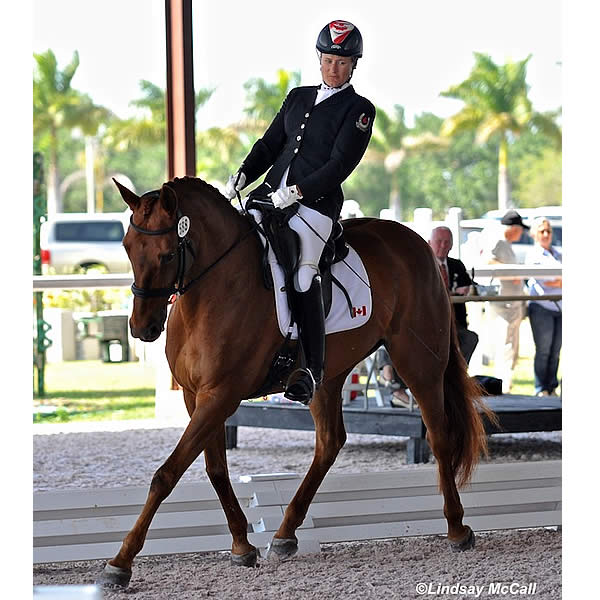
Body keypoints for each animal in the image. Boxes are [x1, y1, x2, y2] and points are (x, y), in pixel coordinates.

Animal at [97, 176, 492, 588]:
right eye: (127, 248)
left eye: (167, 254)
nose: (141, 328)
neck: (213, 291)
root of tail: (417, 243)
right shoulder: (197, 396)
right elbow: (216, 470)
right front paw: (242, 546)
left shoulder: (221, 395)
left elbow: (167, 473)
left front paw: (121, 562)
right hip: (328, 376)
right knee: (330, 442)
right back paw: (285, 534)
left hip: (419, 361)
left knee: (439, 436)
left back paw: (457, 528)